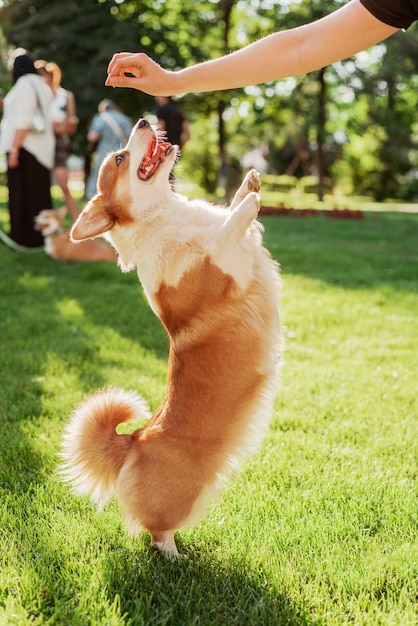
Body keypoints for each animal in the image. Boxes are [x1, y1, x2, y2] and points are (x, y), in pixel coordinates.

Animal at [60, 117, 282, 556]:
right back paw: (175, 559)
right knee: (156, 531)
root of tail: (134, 440)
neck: (163, 217)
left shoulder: (242, 248)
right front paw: (249, 202)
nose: (145, 120)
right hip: (181, 497)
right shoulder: (224, 264)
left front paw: (247, 186)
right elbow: (228, 230)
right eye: (120, 157)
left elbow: (231, 217)